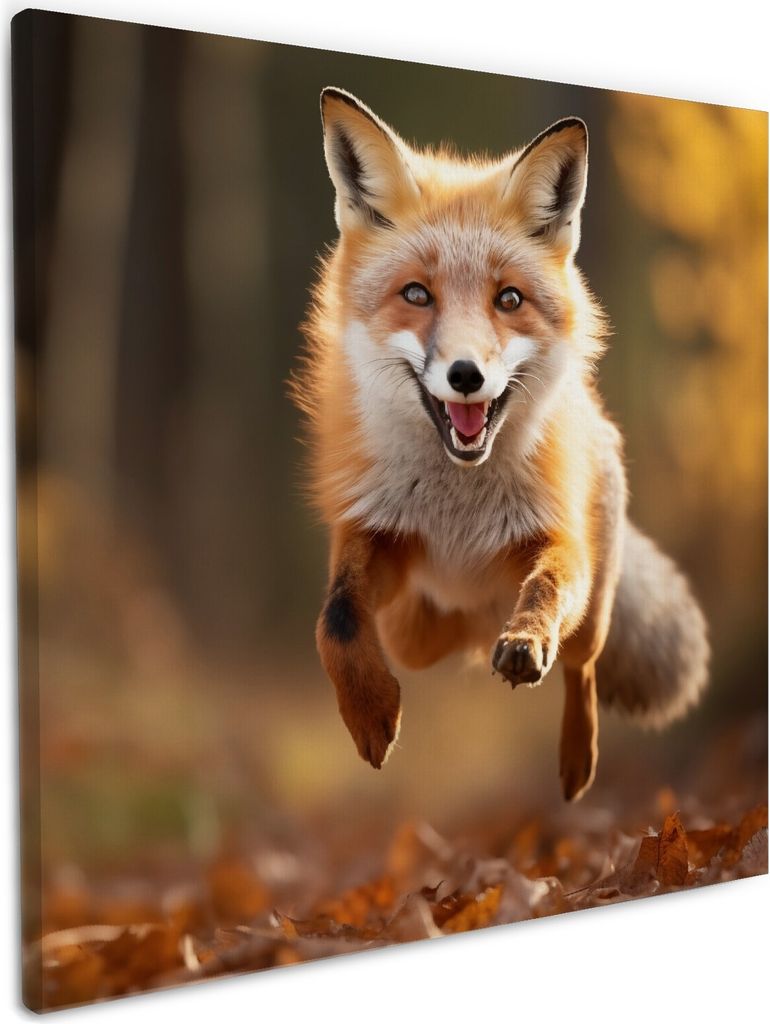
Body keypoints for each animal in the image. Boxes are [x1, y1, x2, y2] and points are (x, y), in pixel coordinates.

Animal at [292, 87, 710, 801]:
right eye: (417, 294)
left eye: (508, 299)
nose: (466, 375)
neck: (460, 510)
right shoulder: (373, 532)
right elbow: (337, 621)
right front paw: (370, 714)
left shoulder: (557, 538)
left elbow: (545, 591)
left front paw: (526, 641)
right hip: (413, 629)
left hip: (596, 605)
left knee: (583, 663)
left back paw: (576, 760)